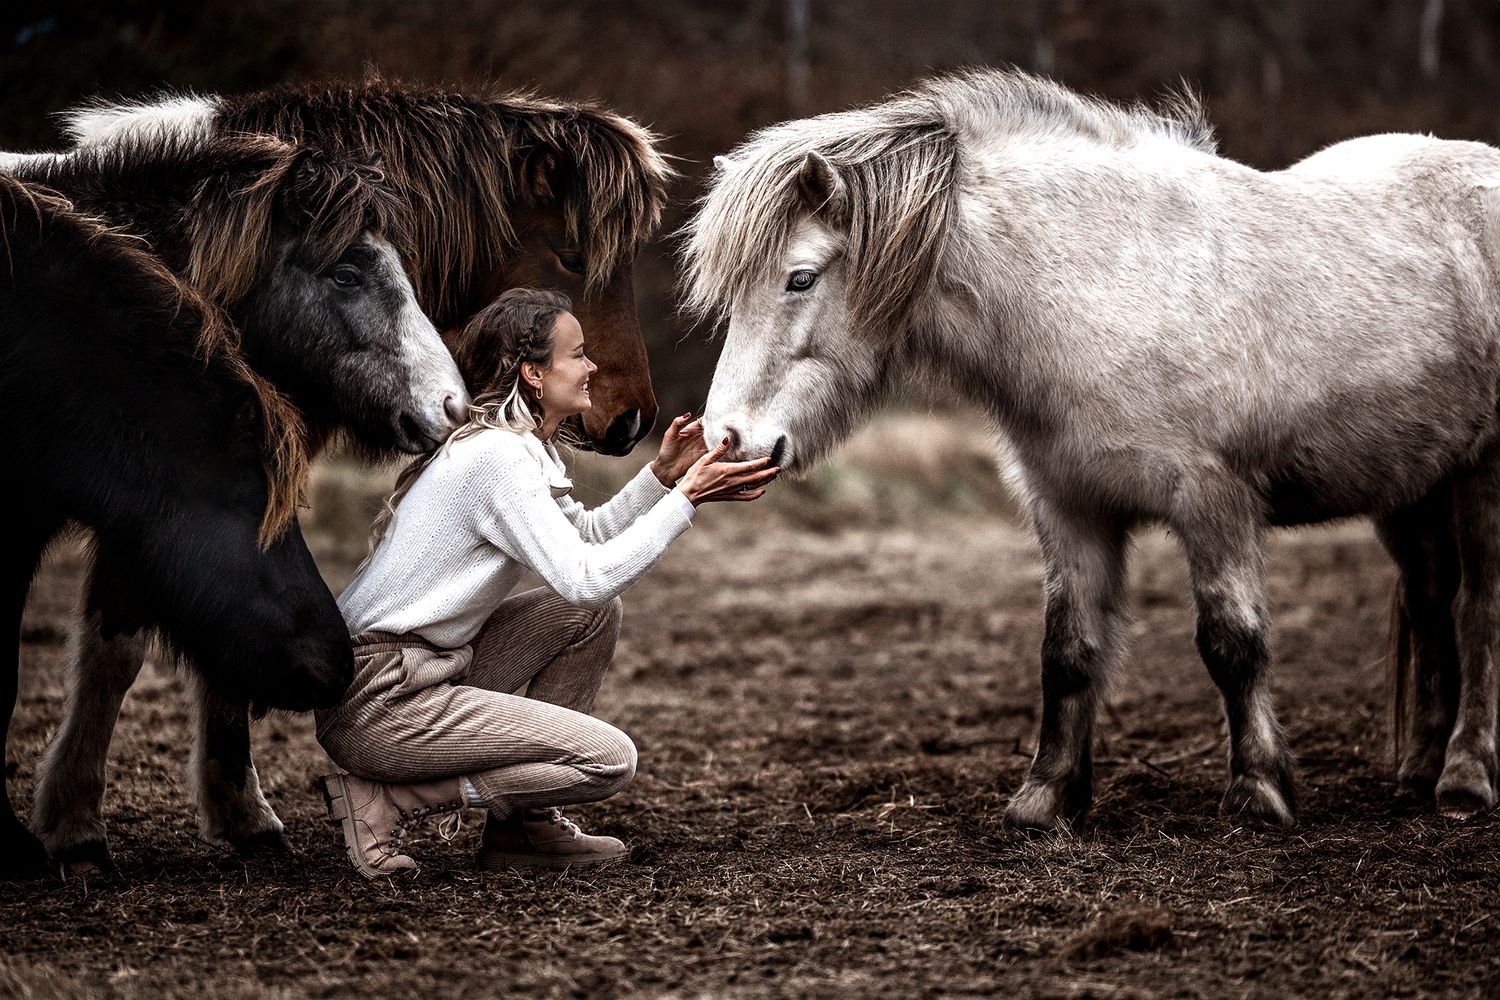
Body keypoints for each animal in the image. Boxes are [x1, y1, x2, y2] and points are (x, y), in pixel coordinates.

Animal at [684, 69, 1500, 831]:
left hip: (1481, 476)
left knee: (1477, 607)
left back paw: (1464, 775)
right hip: (1411, 489)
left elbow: (1233, 643)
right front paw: (1045, 797)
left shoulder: (1214, 503)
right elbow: (1068, 651)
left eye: (799, 278)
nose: (729, 440)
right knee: (1431, 601)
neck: (1108, 285)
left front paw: (1259, 790)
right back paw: (1420, 768)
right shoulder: (1070, 506)